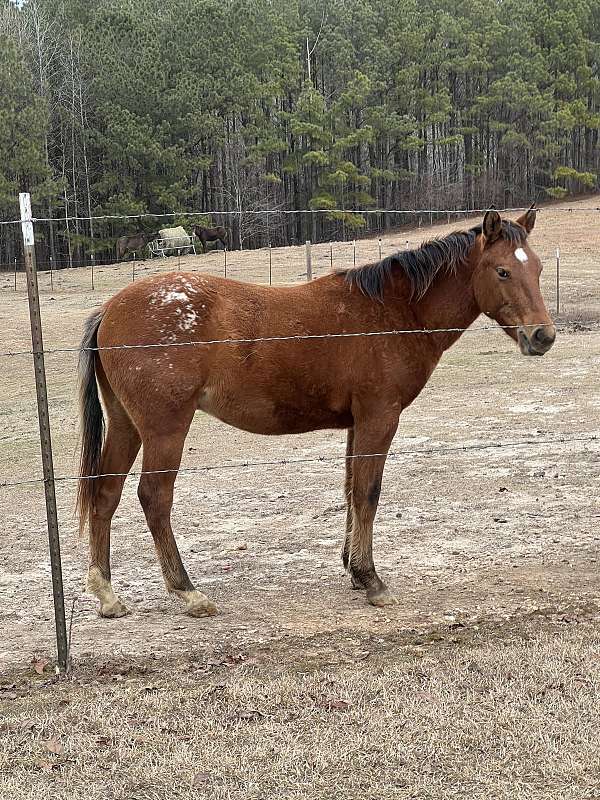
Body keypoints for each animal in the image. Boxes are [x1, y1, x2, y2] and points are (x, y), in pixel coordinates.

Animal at [77, 206, 556, 620]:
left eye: (537, 268)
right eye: (502, 271)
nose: (543, 336)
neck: (395, 310)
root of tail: (110, 309)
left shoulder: (357, 424)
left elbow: (350, 491)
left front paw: (354, 570)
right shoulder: (380, 418)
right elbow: (367, 494)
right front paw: (371, 579)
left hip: (127, 426)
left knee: (106, 494)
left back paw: (108, 594)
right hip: (165, 429)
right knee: (154, 498)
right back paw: (188, 591)